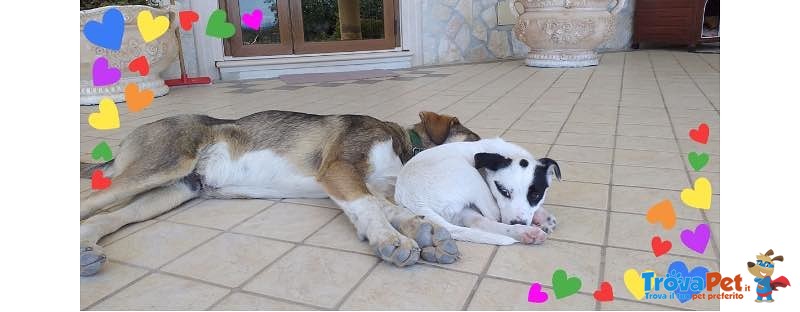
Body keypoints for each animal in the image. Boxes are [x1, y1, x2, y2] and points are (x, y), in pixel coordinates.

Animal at [79, 110, 482, 276]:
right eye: (479, 146)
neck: (404, 150)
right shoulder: (338, 170)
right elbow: (370, 206)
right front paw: (391, 239)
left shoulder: (360, 183)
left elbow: (388, 207)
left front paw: (426, 232)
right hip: (163, 165)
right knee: (89, 202)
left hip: (174, 188)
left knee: (108, 216)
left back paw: (86, 252)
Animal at [396, 138, 564, 247]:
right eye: (503, 191)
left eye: (535, 195)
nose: (519, 222)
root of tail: (411, 198)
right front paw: (539, 216)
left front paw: (542, 215)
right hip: (471, 177)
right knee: (492, 216)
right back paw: (526, 231)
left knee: (480, 223)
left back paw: (524, 232)